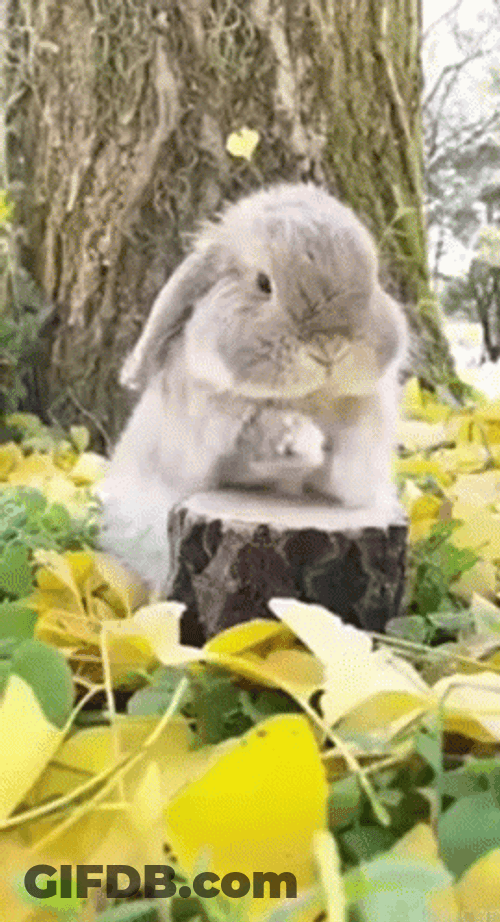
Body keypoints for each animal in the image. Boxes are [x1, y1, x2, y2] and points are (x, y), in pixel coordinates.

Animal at [98, 182, 408, 591]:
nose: (330, 347)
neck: (306, 397)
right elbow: (259, 436)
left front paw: (336, 462)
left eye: (374, 281)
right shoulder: (212, 436)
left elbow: (351, 460)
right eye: (264, 284)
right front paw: (304, 443)